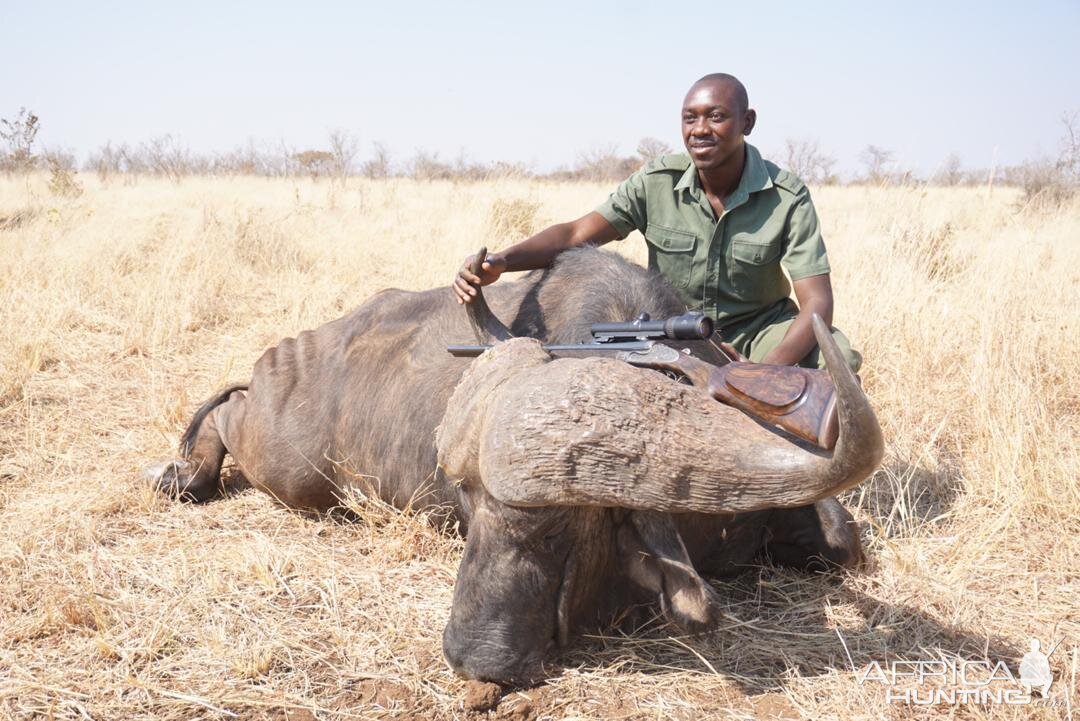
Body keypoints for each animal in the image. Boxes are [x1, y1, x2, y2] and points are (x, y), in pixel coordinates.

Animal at [150, 248, 876, 686]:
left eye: (557, 529)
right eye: (467, 507)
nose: (476, 659)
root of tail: (284, 355)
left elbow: (844, 540)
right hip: (289, 463)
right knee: (226, 412)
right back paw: (183, 474)